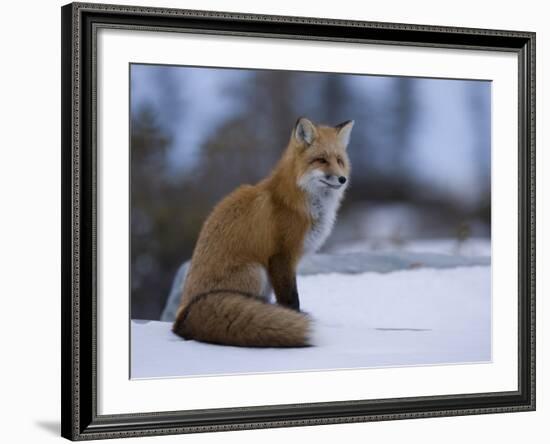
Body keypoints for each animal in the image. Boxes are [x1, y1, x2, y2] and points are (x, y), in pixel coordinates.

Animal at [172, 117, 356, 346]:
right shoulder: (282, 256)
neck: (297, 202)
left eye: (339, 161)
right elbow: (290, 299)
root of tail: (181, 317)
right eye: (321, 160)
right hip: (256, 271)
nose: (342, 179)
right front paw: (293, 319)